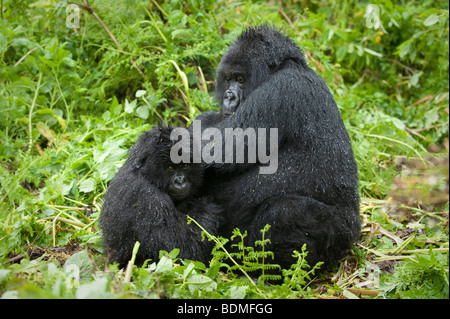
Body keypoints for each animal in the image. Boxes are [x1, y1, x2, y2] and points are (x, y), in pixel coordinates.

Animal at [101, 124, 222, 266]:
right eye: (170, 168)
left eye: (185, 165)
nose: (180, 181)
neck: (145, 174)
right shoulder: (150, 200)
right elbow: (181, 250)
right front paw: (205, 207)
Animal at [193, 26, 362, 272]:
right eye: (228, 79)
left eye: (240, 78)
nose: (228, 96)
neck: (288, 66)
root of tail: (356, 231)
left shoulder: (281, 88)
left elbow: (219, 150)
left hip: (341, 233)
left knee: (285, 211)